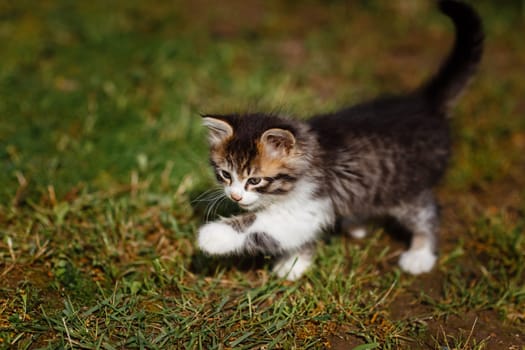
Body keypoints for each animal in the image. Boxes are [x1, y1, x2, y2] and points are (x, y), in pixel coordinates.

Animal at [198, 0, 484, 280]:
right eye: (225, 175)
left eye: (255, 180)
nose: (235, 196)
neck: (310, 149)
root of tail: (426, 104)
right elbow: (295, 236)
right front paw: (295, 262)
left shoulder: (310, 203)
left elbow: (261, 223)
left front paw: (213, 236)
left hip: (408, 187)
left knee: (429, 213)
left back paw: (420, 254)